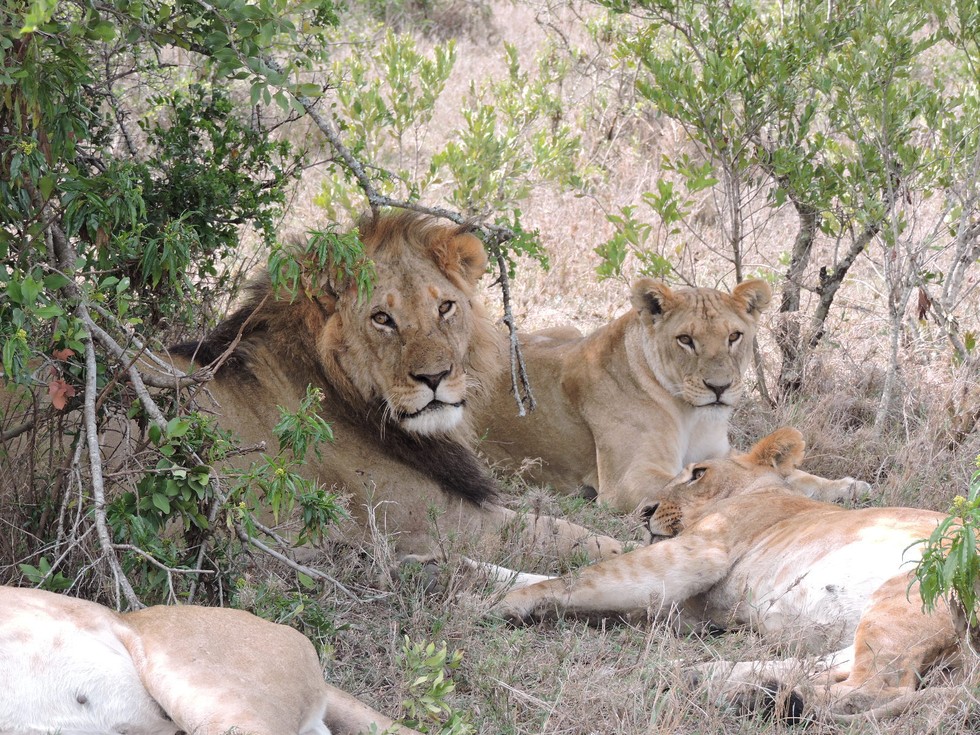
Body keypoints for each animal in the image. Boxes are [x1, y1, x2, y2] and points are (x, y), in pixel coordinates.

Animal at [486, 428, 960, 720]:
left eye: (698, 473)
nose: (644, 511)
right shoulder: (693, 608)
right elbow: (546, 575)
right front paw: (477, 577)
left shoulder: (699, 552)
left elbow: (581, 577)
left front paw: (502, 606)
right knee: (828, 664)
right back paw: (700, 675)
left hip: (907, 592)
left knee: (875, 690)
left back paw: (757, 698)